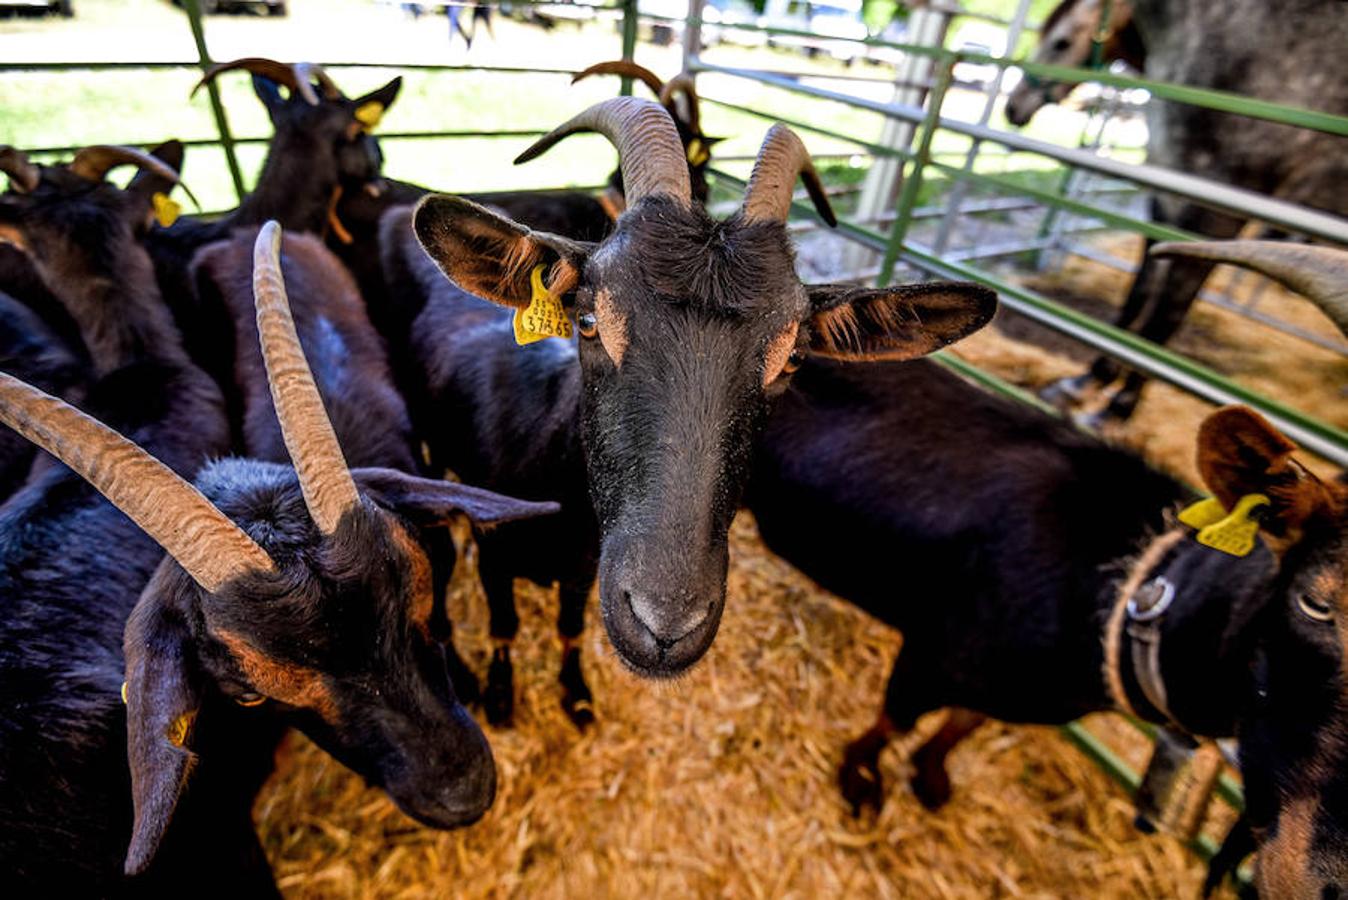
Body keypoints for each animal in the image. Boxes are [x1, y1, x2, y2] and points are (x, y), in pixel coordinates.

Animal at [393, 97, 997, 722]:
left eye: (793, 357)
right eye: (588, 320)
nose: (665, 625)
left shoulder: (585, 568)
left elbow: (569, 626)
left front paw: (577, 694)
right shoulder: (495, 555)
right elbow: (506, 625)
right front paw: (500, 696)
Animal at [749, 242, 1348, 894]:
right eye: (1316, 600)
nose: (1321, 881)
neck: (1125, 589)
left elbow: (964, 724)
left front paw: (931, 778)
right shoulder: (934, 651)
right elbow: (894, 720)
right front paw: (861, 781)